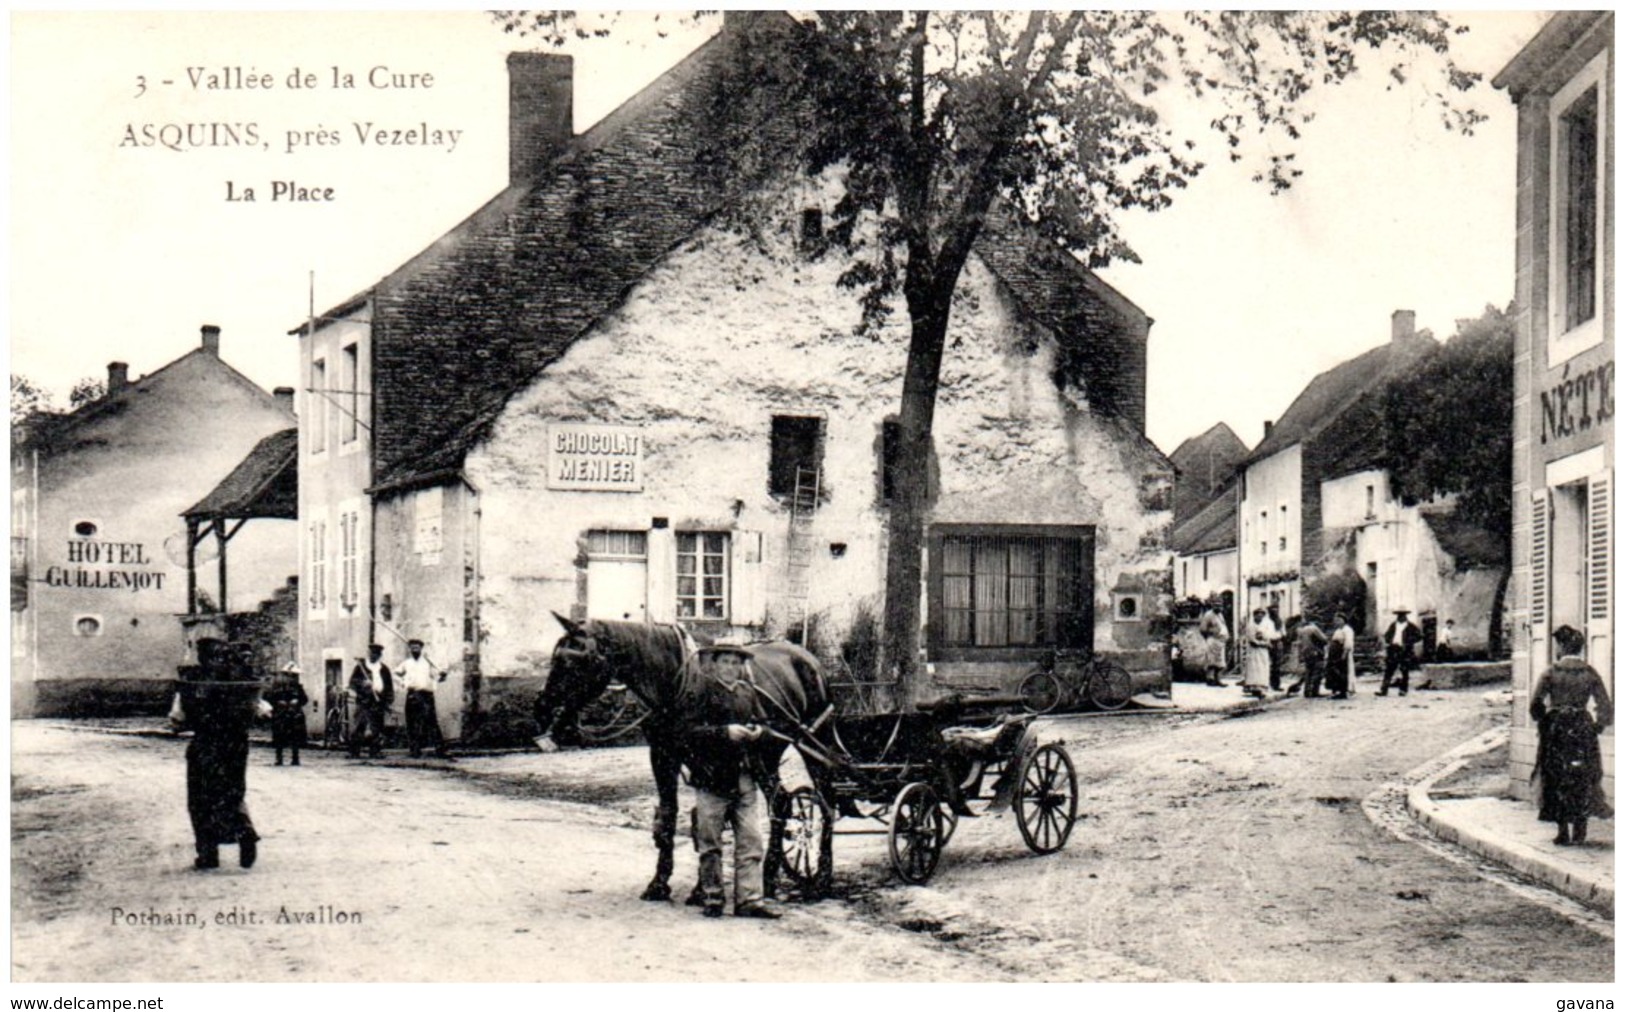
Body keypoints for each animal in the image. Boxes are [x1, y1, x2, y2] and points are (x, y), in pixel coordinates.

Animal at [536, 614, 832, 909]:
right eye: (555, 656)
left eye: (578, 660)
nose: (543, 706)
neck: (673, 680)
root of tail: (807, 657)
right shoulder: (663, 754)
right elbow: (671, 816)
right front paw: (660, 883)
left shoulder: (705, 755)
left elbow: (705, 820)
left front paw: (701, 890)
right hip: (765, 756)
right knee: (782, 802)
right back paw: (772, 875)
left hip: (809, 745)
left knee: (824, 801)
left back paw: (817, 874)